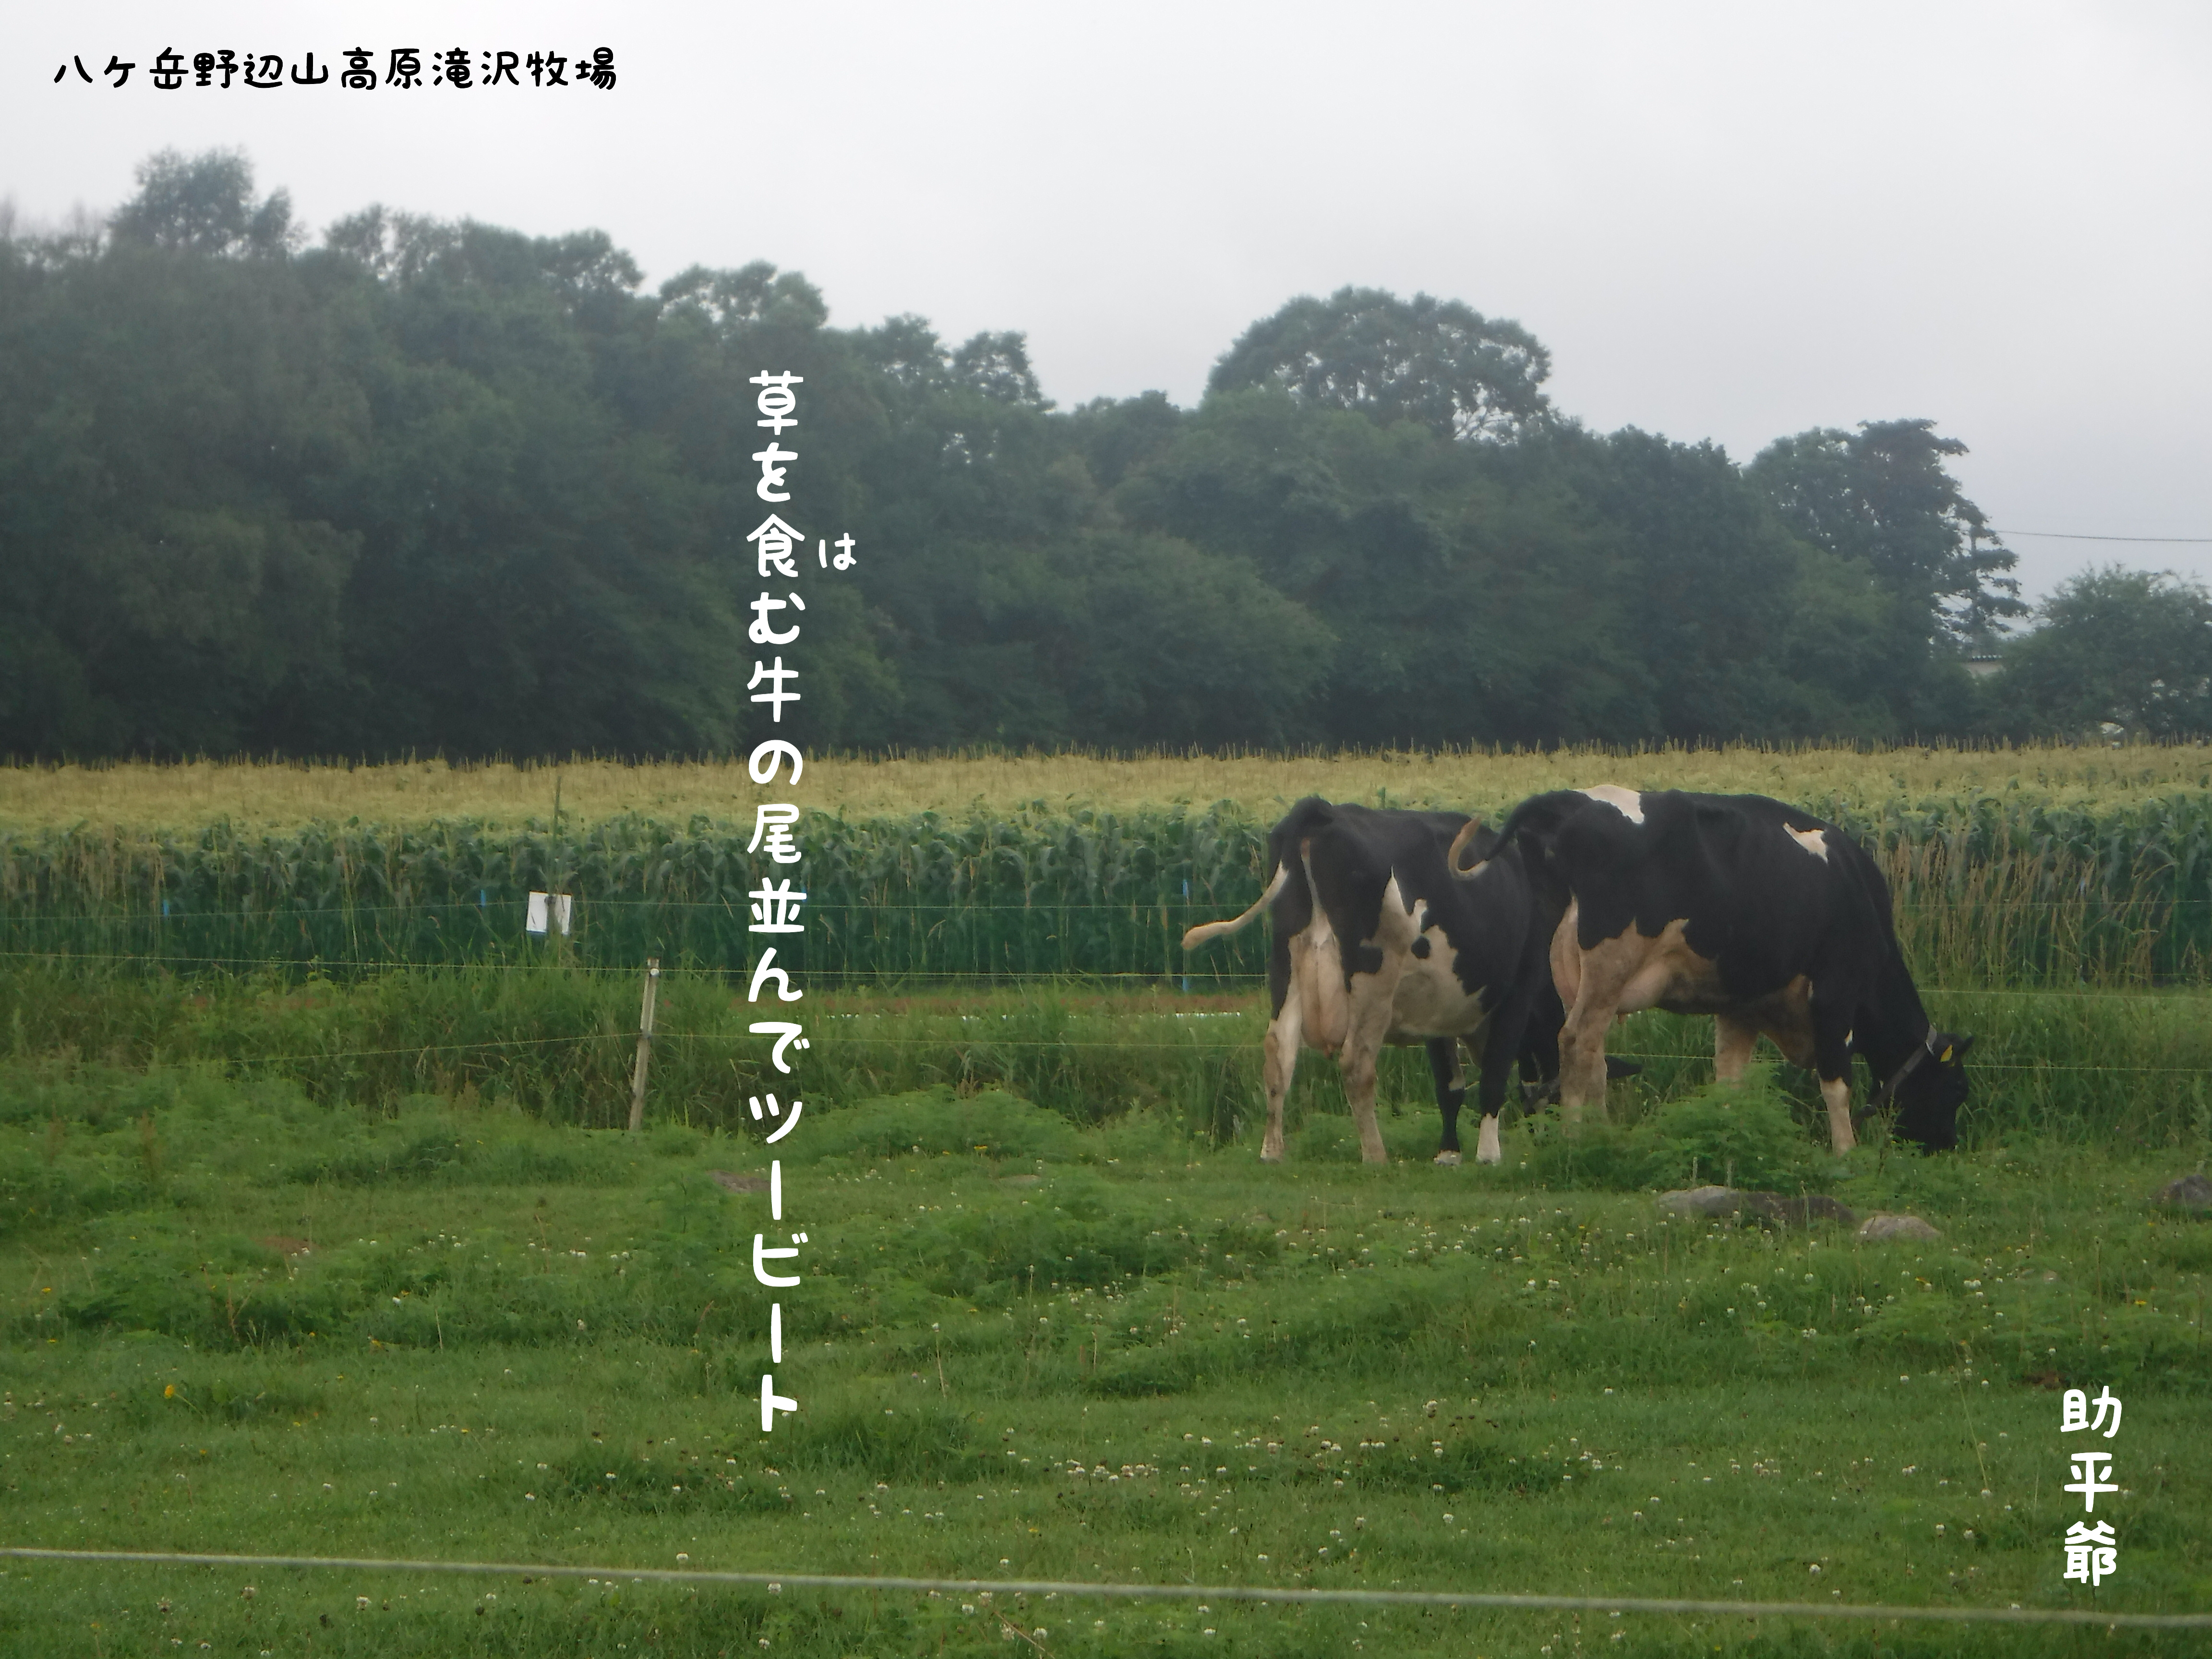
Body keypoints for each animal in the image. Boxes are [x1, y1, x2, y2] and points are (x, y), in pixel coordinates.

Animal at [1185, 801, 1566, 1168]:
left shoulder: (1437, 1007)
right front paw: (1488, 1155)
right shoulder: (1517, 993)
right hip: (1372, 980)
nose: (1547, 1127)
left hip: (1286, 968)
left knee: (1278, 1058)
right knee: (1357, 1064)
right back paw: (1375, 1156)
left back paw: (1272, 1153)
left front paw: (1448, 1154)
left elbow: (1449, 1087)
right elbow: (1494, 1077)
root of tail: (1321, 810)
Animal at [1451, 787, 1973, 1159]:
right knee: (1577, 1041)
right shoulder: (1835, 991)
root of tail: (1573, 800)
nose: (1947, 1146)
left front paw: (1726, 1134)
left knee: (1589, 1054)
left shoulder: (1740, 1005)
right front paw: (1846, 1153)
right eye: (1957, 1089)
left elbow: (1730, 1080)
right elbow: (1837, 1082)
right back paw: (1580, 1141)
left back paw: (1603, 1135)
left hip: (1563, 972)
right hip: (1610, 962)